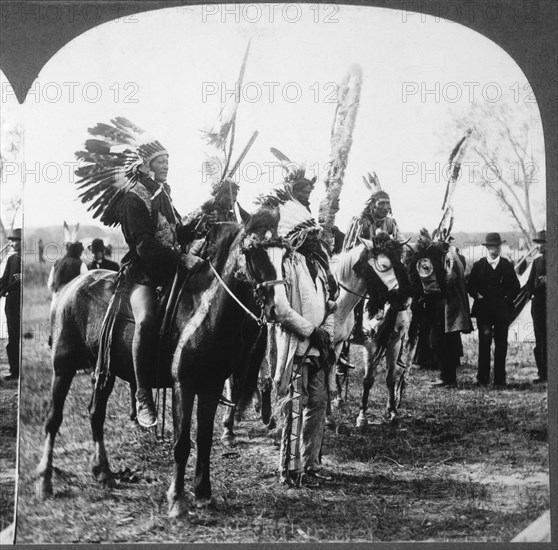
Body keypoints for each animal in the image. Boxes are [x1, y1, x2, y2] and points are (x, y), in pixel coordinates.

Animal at [35, 218, 282, 520]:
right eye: (251, 250)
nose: (276, 305)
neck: (206, 312)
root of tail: (70, 287)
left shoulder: (210, 387)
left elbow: (204, 440)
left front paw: (203, 493)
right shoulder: (183, 385)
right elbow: (182, 443)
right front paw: (177, 500)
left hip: (104, 372)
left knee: (95, 414)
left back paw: (103, 472)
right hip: (63, 366)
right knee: (53, 419)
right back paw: (45, 481)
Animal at [332, 235, 416, 430]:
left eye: (402, 261)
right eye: (384, 265)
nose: (405, 298)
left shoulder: (394, 342)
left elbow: (391, 378)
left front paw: (392, 413)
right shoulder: (370, 345)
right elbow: (368, 380)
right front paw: (362, 417)